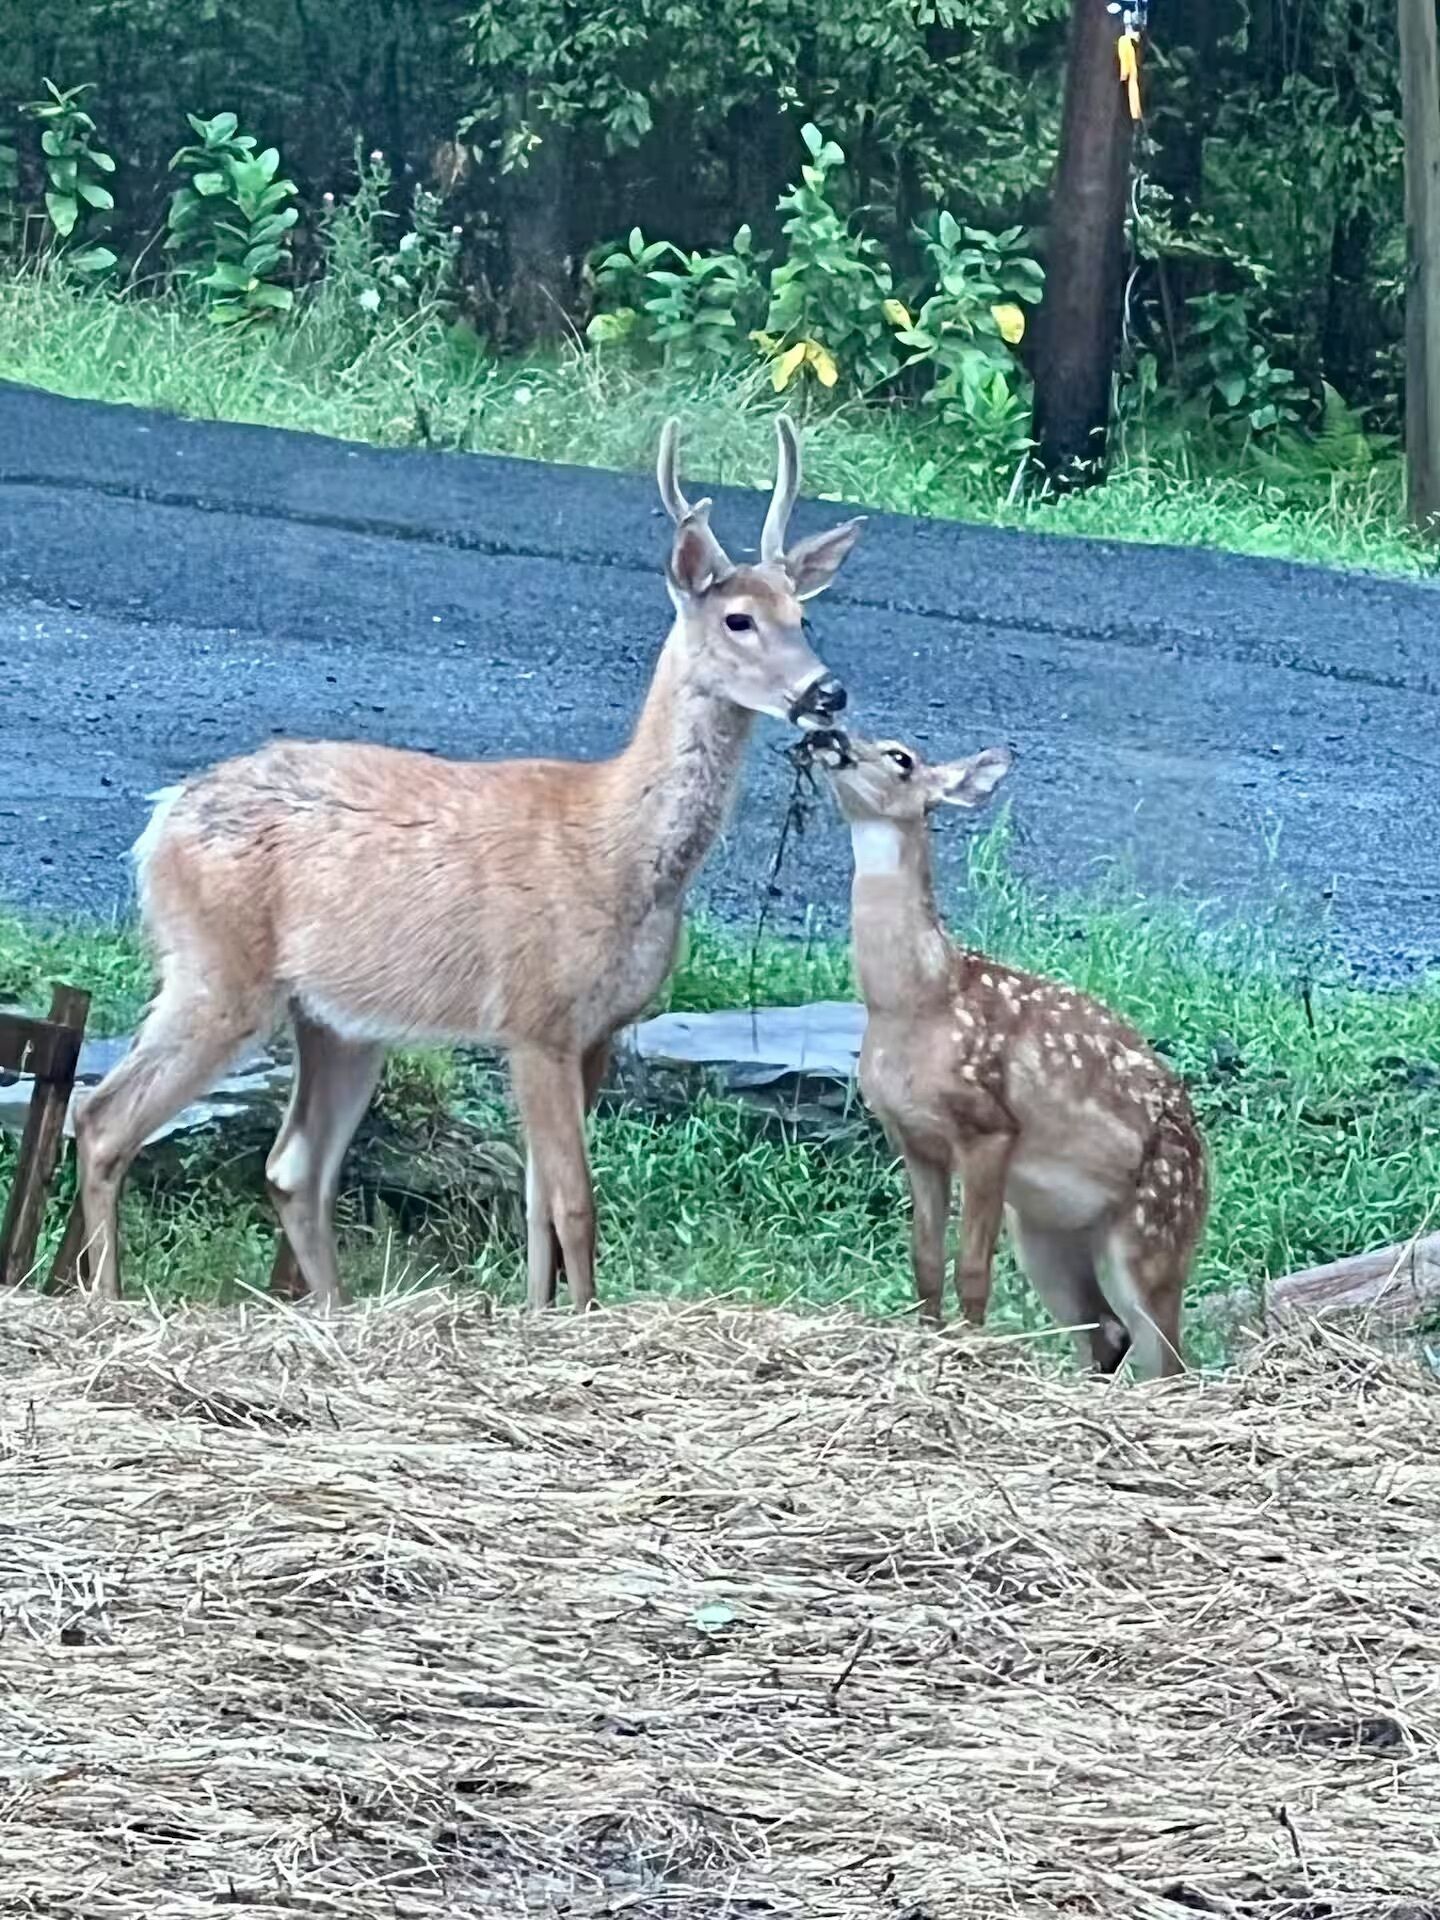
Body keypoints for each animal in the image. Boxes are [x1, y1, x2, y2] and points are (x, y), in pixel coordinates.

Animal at [74, 417, 864, 1311]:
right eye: (737, 620)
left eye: (802, 615)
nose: (827, 692)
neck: (619, 851)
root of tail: (161, 818)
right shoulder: (535, 1016)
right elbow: (576, 1202)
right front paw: (581, 1318)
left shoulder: (596, 1033)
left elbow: (538, 1203)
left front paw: (540, 1314)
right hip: (215, 968)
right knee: (102, 1119)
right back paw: (106, 1297)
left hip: (338, 1019)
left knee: (292, 1165)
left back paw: (331, 1311)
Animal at [801, 729, 1208, 1378]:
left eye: (900, 757)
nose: (825, 733)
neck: (919, 1001)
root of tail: (1203, 1159)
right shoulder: (912, 1137)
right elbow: (924, 1261)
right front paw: (927, 1339)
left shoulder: (989, 1126)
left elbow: (971, 1270)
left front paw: (968, 1352)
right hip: (1046, 1226)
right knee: (1107, 1331)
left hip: (1157, 1224)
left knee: (1166, 1355)